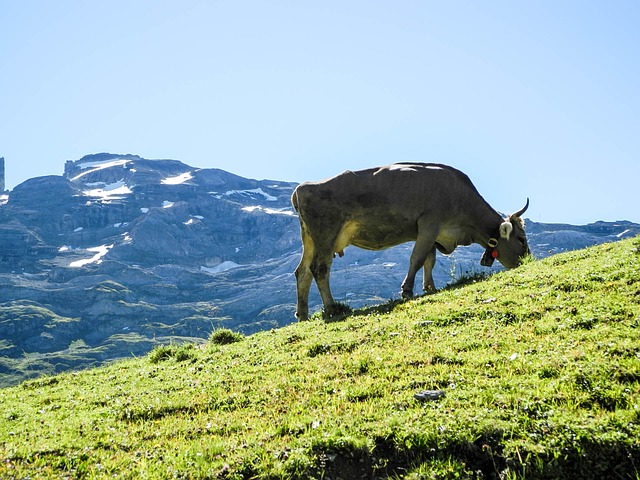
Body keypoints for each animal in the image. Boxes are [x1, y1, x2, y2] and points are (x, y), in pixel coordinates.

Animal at [292, 163, 528, 320]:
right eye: (521, 239)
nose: (528, 261)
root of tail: (304, 187)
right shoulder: (429, 224)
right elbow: (417, 258)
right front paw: (407, 290)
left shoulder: (432, 233)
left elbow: (429, 261)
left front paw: (430, 287)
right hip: (326, 235)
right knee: (320, 269)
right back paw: (332, 308)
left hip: (310, 240)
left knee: (302, 273)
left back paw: (302, 314)